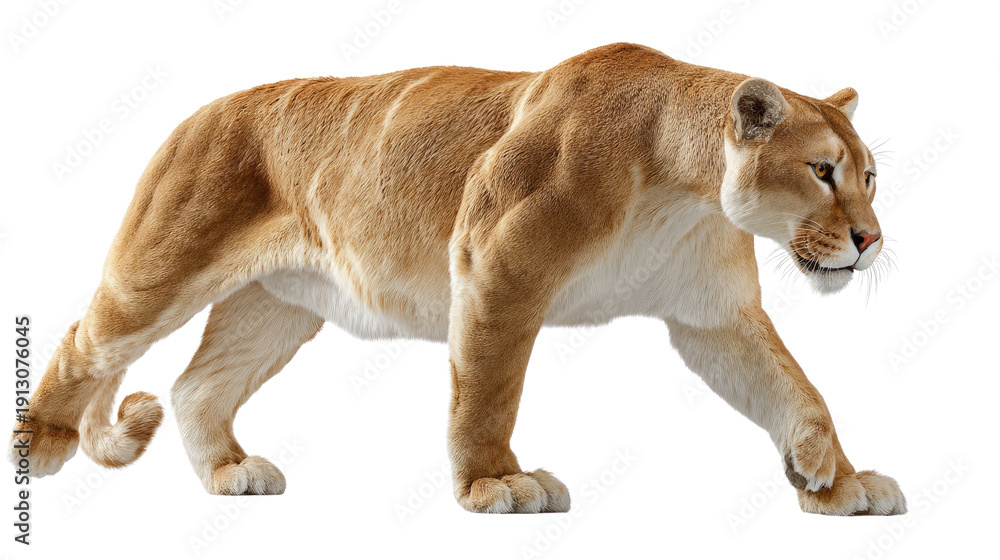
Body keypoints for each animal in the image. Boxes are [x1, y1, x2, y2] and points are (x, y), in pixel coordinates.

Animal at [9, 43, 905, 516]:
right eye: (821, 170)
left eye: (870, 176)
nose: (871, 240)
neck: (682, 190)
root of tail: (194, 114)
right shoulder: (496, 271)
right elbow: (488, 391)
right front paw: (497, 483)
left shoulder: (714, 317)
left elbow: (797, 390)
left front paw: (835, 478)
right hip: (161, 270)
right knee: (86, 340)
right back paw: (39, 446)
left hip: (275, 308)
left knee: (197, 386)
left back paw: (232, 473)